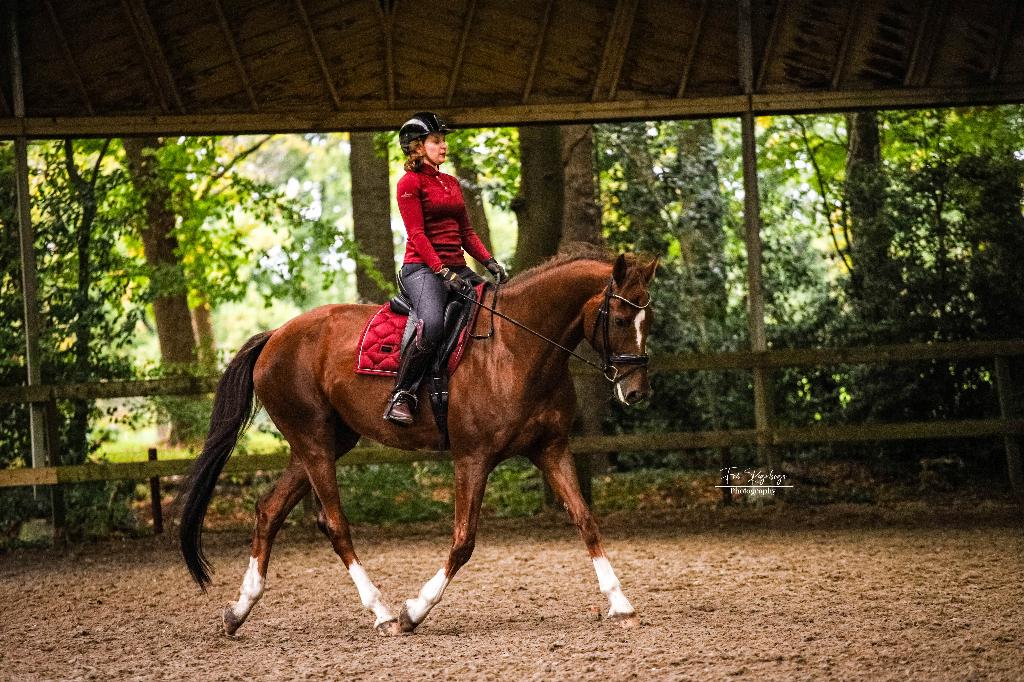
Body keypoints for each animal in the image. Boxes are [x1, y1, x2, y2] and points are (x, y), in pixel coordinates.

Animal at [177, 247, 657, 636]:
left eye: (647, 320)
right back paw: (383, 613)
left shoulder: (551, 450)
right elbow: (463, 541)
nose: (635, 391)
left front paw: (621, 604)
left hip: (322, 444)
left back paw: (238, 611)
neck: (517, 348)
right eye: (618, 319)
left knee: (269, 511)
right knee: (334, 524)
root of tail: (275, 336)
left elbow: (586, 520)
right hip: (313, 442)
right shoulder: (472, 458)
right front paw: (415, 611)